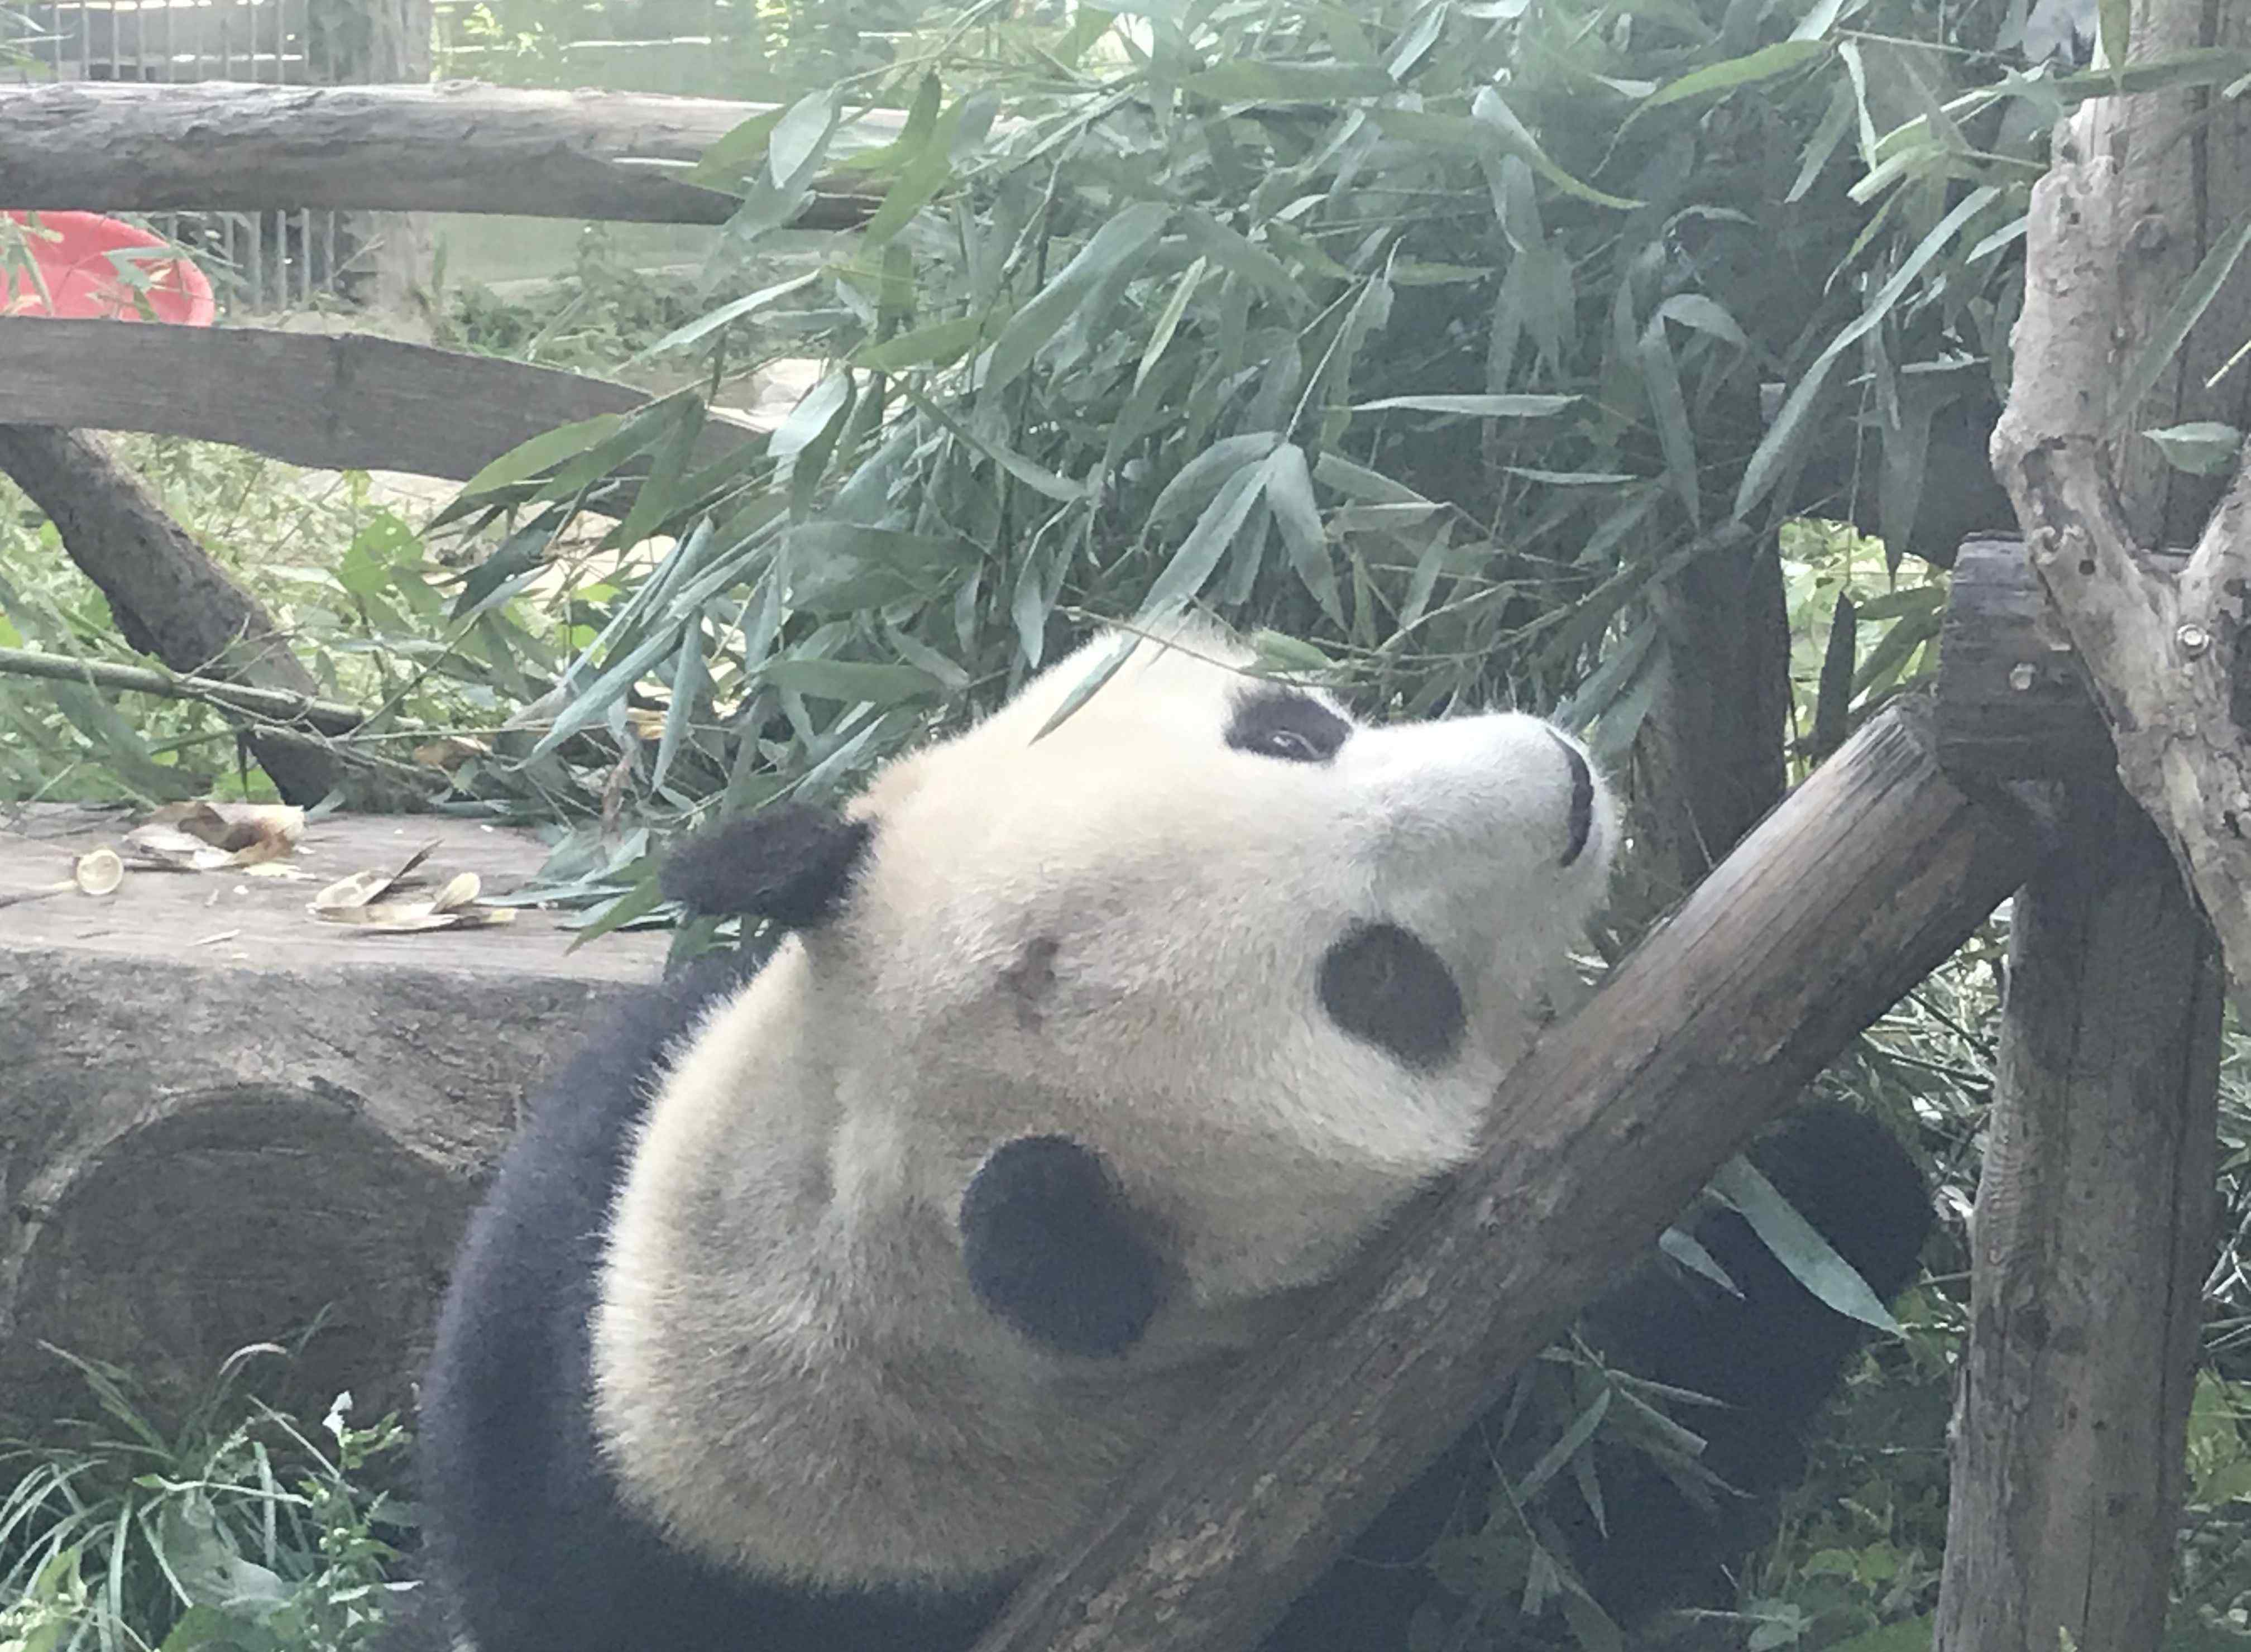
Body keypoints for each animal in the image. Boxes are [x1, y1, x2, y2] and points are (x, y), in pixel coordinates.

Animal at [409, 625, 1936, 1652]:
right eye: (1383, 986)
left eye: (1285, 731)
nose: (1563, 782)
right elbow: (1609, 1497)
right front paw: (1834, 1188)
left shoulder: (595, 1177)